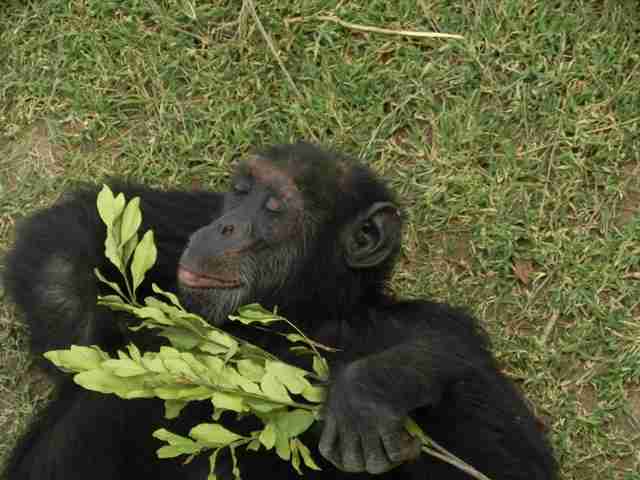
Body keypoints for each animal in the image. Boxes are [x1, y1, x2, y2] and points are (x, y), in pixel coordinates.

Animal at [2, 143, 556, 480]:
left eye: (273, 207)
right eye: (240, 191)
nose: (225, 227)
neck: (304, 313)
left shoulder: (437, 329)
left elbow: (504, 457)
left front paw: (371, 388)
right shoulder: (186, 222)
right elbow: (75, 227)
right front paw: (94, 339)